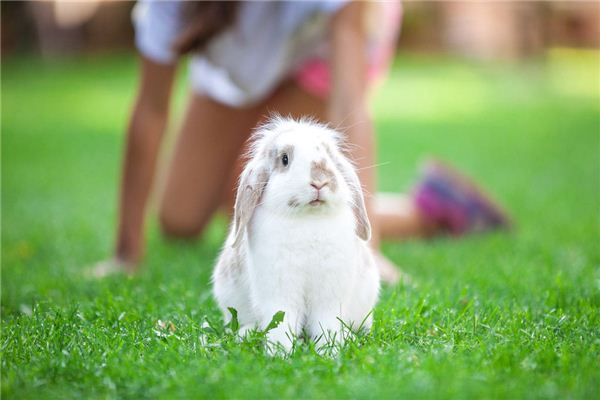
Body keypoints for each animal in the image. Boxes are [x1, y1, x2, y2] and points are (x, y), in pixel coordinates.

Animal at [212, 115, 380, 354]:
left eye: (328, 156)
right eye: (284, 159)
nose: (320, 181)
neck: (308, 220)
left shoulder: (328, 295)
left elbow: (326, 323)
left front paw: (330, 352)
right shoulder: (279, 292)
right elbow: (281, 322)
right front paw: (279, 353)